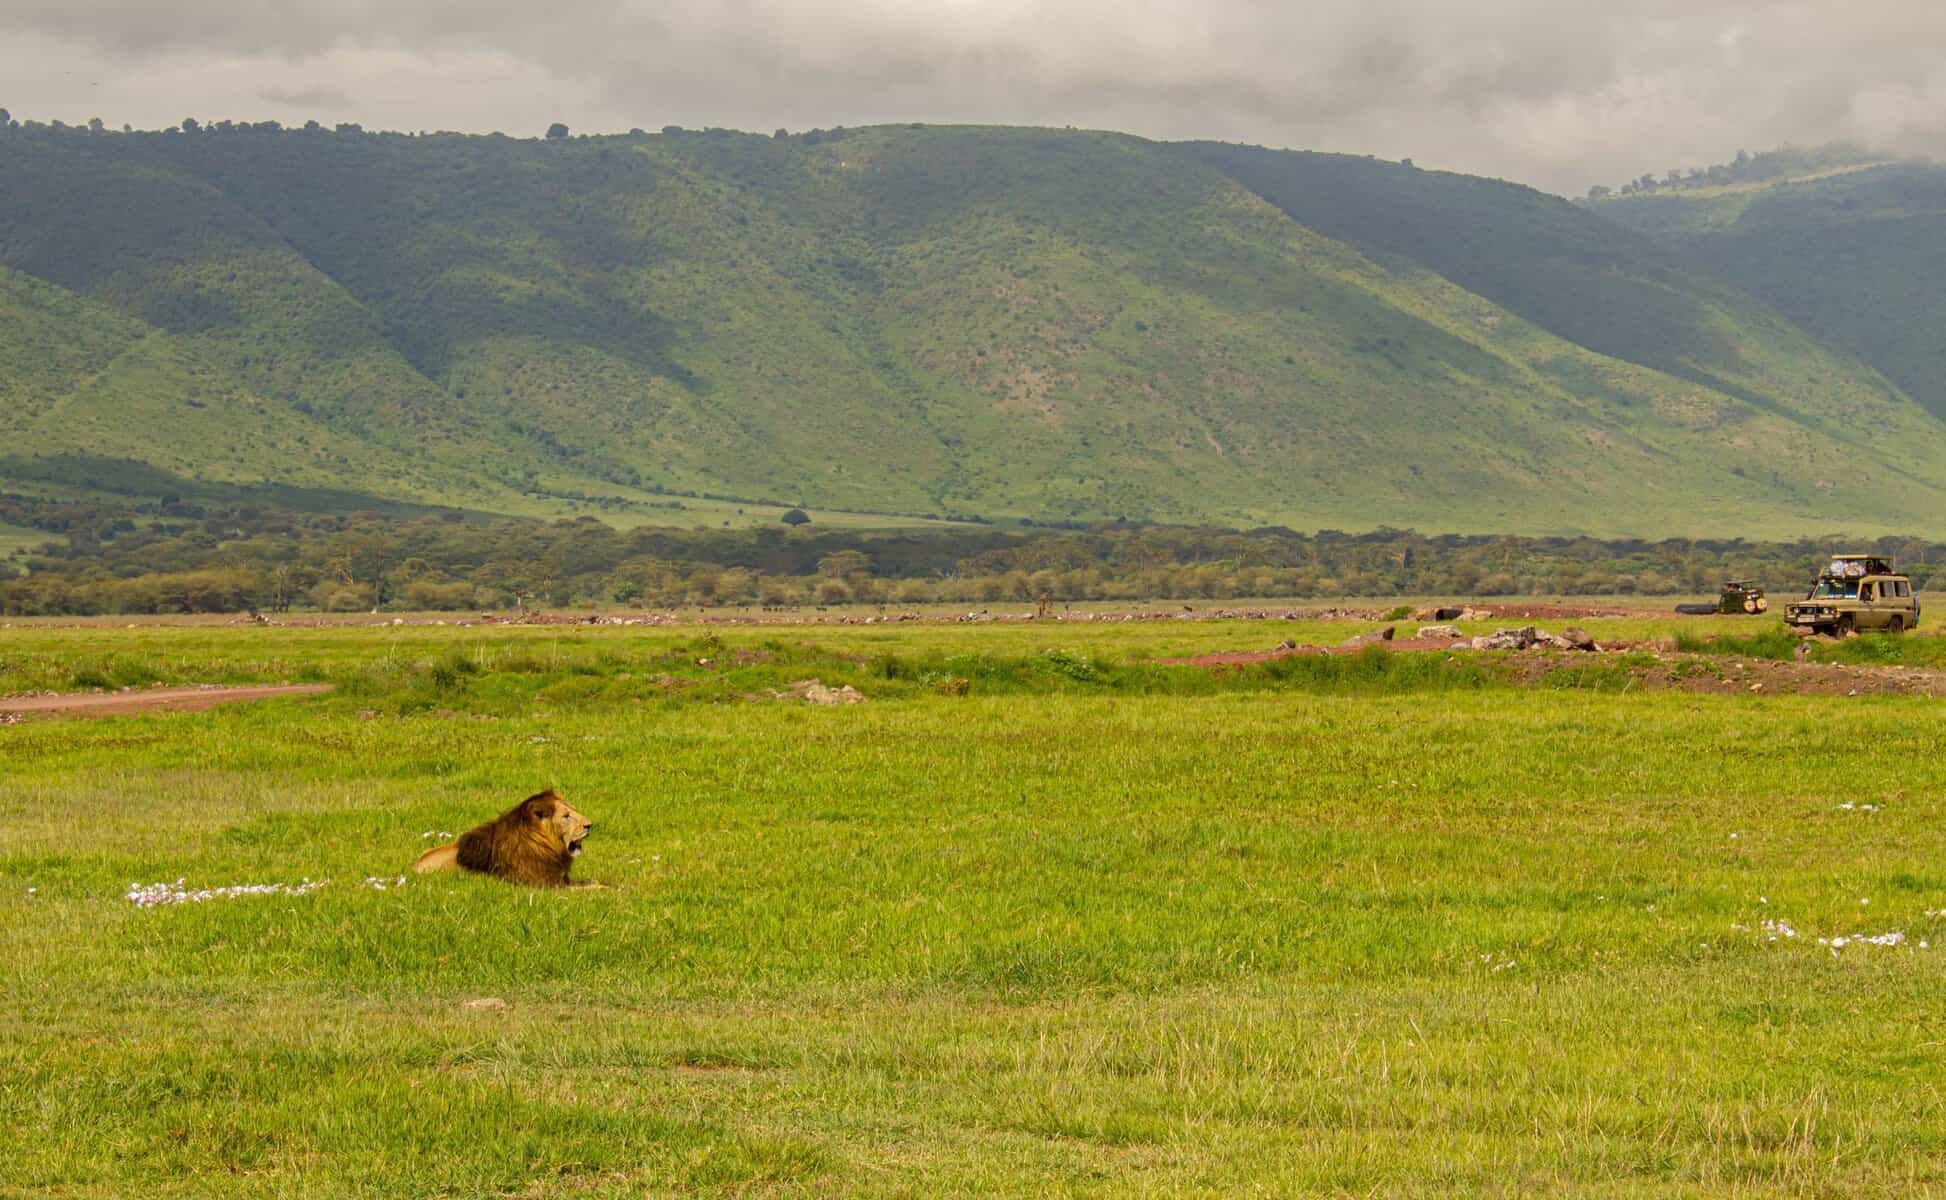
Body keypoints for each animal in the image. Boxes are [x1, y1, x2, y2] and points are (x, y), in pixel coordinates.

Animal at [412, 790, 595, 887]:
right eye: (566, 816)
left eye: (573, 810)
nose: (590, 825)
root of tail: (413, 868)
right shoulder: (546, 884)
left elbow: (590, 882)